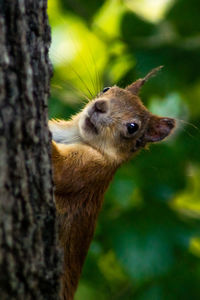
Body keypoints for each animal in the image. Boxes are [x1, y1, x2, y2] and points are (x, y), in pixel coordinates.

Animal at [48, 67, 175, 300]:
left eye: (133, 127)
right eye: (107, 89)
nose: (100, 105)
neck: (76, 135)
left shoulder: (89, 170)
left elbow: (60, 170)